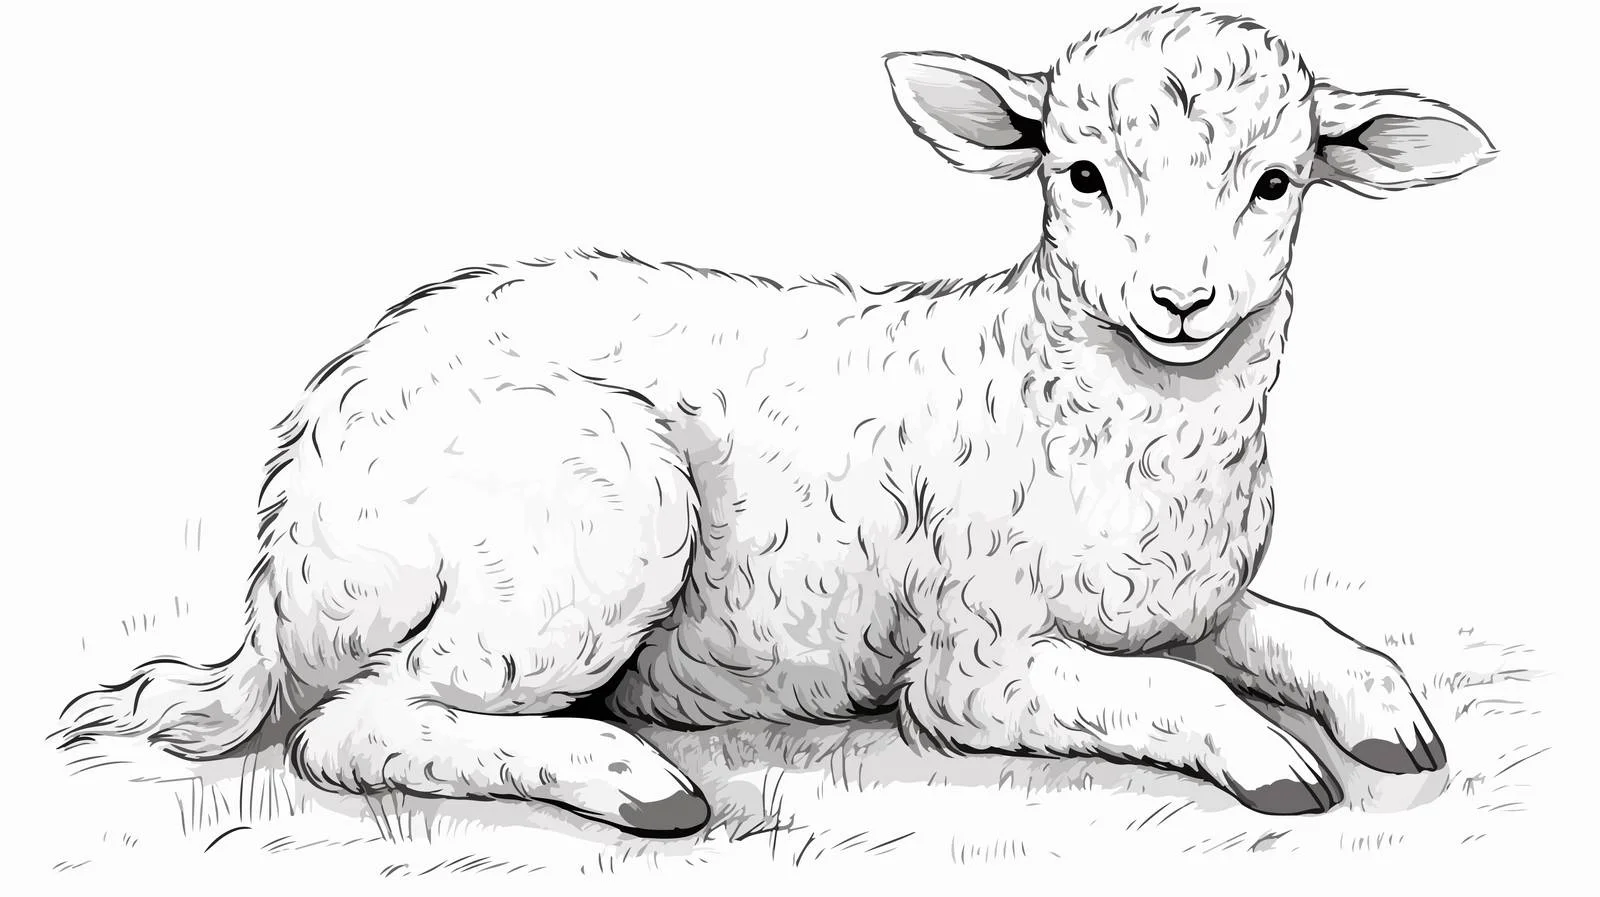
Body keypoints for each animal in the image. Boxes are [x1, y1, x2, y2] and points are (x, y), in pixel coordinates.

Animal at [54, 5, 1495, 835]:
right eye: (1080, 173)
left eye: (1277, 182)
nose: (1181, 302)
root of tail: (283, 547)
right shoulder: (976, 662)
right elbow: (1174, 689)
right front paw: (1277, 765)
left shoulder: (1187, 598)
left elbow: (1309, 637)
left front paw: (1390, 720)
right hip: (590, 514)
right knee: (358, 724)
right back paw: (634, 783)